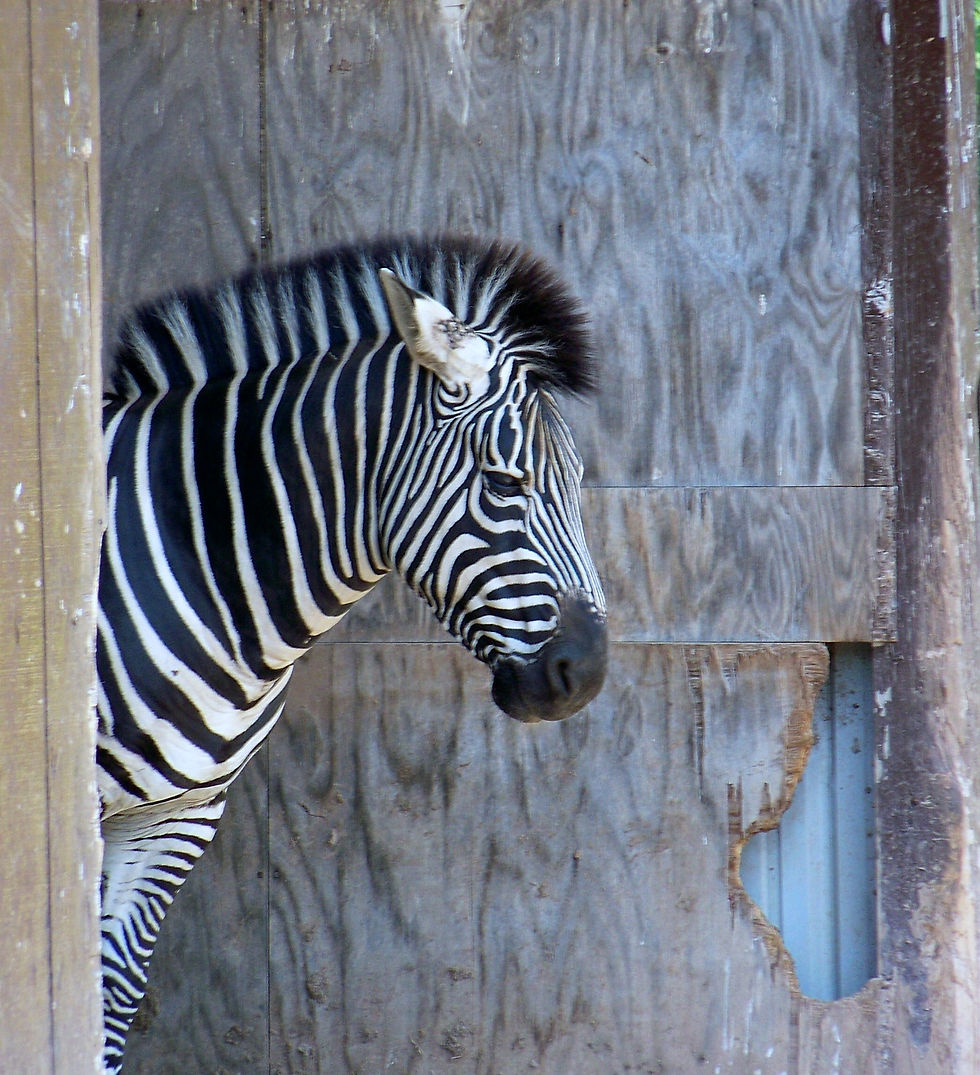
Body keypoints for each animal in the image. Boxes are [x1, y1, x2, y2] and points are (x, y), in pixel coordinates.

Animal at [97, 235, 607, 1070]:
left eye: (577, 482)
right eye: (504, 484)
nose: (586, 674)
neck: (195, 553)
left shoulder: (177, 811)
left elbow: (108, 999)